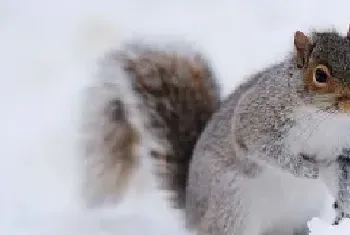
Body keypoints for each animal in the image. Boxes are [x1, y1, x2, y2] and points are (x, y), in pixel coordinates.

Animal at [82, 26, 350, 234]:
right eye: (320, 75)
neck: (328, 120)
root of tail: (192, 215)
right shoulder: (257, 120)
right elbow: (265, 149)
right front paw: (306, 169)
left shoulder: (339, 153)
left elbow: (338, 176)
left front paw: (343, 210)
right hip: (232, 208)